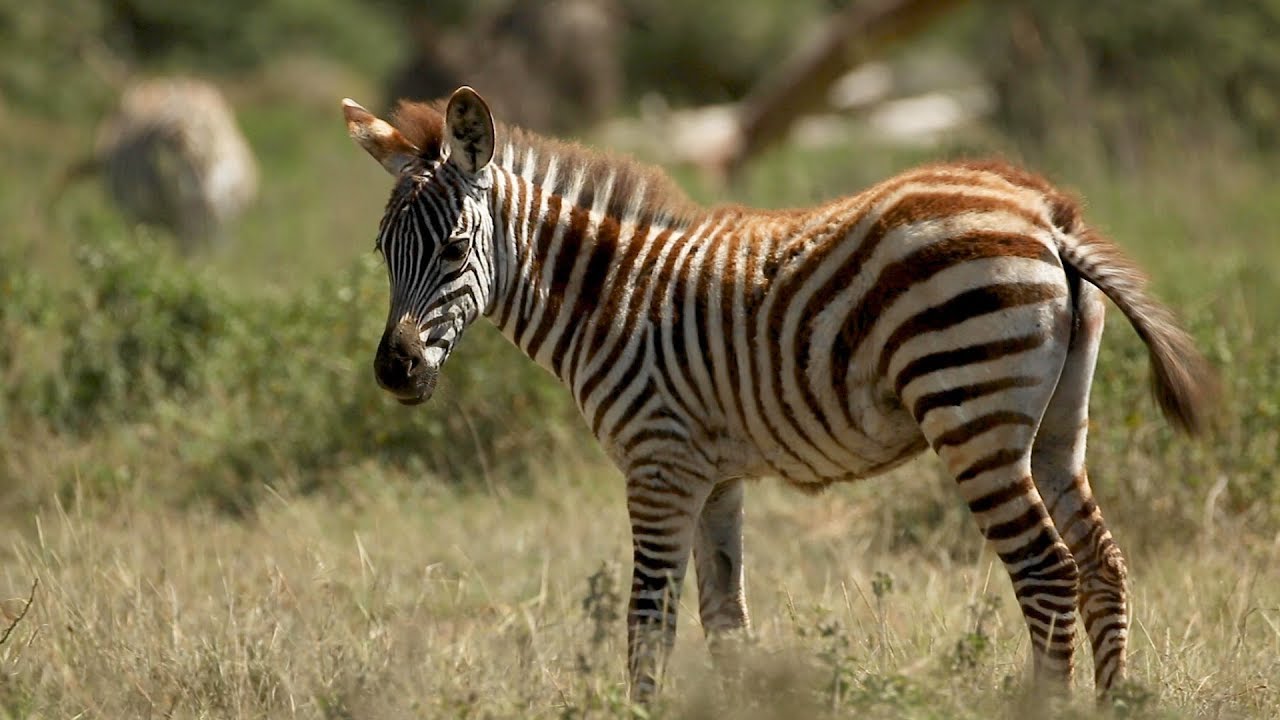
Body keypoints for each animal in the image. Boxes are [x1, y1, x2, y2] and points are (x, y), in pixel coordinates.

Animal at [342, 86, 1215, 701]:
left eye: (455, 248)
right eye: (380, 249)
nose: (394, 371)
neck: (609, 296)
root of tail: (1045, 210)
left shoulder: (658, 465)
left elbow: (648, 623)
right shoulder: (715, 476)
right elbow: (726, 621)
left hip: (973, 412)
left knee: (1047, 572)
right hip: (1059, 424)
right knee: (1102, 564)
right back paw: (1113, 702)